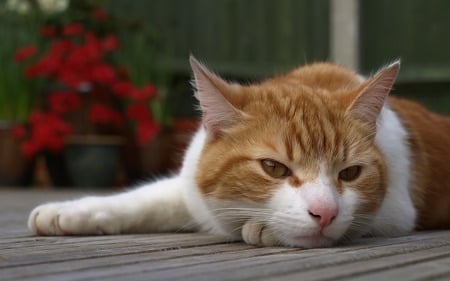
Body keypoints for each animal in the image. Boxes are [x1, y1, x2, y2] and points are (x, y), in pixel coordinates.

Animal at [27, 55, 450, 247]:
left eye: (349, 173)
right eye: (273, 168)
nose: (325, 213)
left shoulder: (397, 210)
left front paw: (262, 227)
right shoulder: (190, 188)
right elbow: (143, 200)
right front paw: (68, 212)